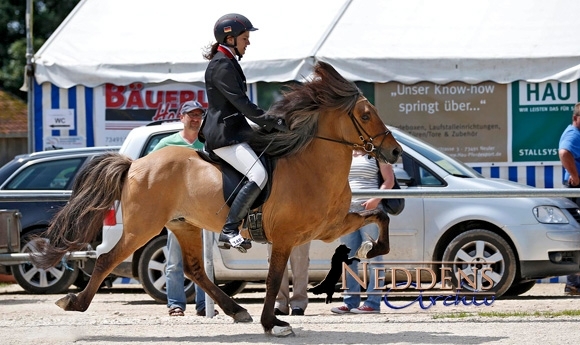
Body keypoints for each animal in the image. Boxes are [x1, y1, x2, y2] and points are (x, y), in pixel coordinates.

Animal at [31, 61, 404, 336]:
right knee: (107, 258)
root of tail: (136, 163)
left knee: (195, 269)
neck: (311, 165)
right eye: (366, 114)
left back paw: (235, 310)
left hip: (183, 225)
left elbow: (380, 216)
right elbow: (273, 279)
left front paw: (371, 249)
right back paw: (74, 302)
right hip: (143, 228)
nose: (395, 152)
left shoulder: (328, 227)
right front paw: (272, 323)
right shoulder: (285, 237)